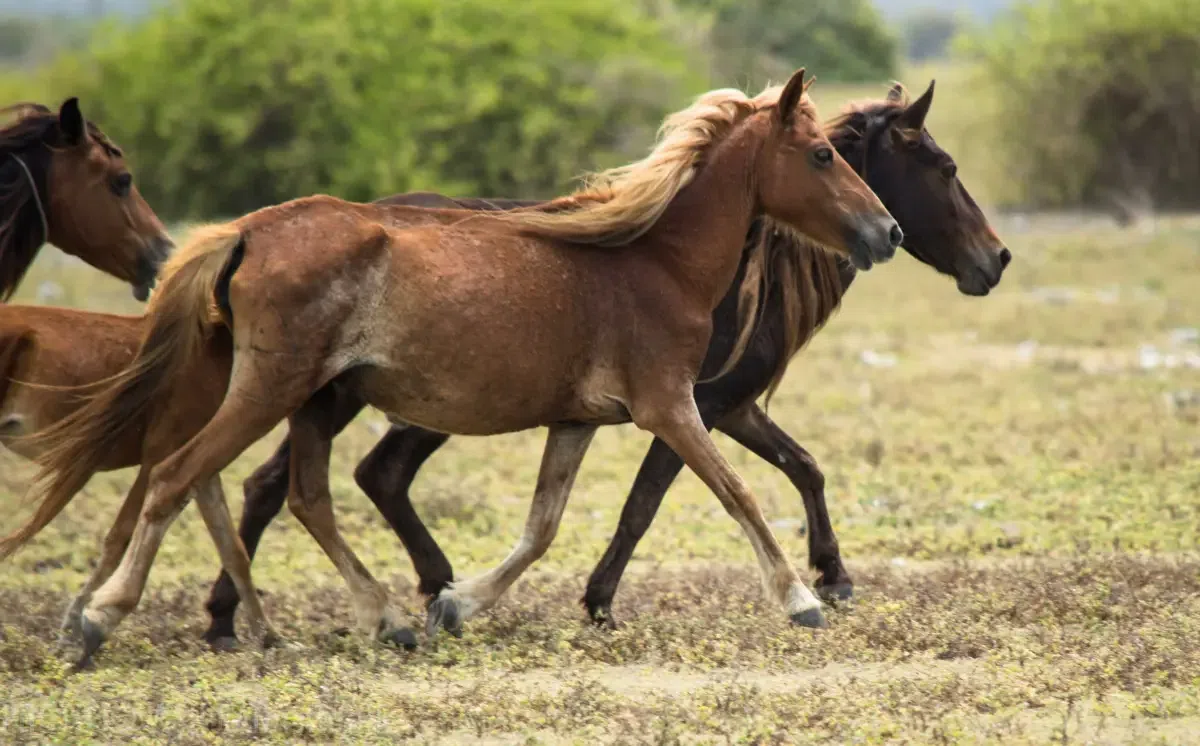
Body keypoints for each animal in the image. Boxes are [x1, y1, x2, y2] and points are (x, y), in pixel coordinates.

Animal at [25, 70, 902, 667]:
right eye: (821, 154)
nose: (886, 231)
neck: (654, 261)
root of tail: (246, 232)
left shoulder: (578, 420)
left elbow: (540, 530)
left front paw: (457, 604)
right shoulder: (671, 407)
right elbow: (739, 493)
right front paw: (802, 598)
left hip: (316, 399)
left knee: (302, 495)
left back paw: (387, 618)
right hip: (273, 390)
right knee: (180, 477)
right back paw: (100, 619)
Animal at [200, 80, 1009, 643]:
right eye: (943, 166)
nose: (995, 260)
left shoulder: (719, 405)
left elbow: (801, 467)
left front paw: (832, 574)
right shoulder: (686, 406)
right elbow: (659, 502)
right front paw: (599, 600)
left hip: (352, 395)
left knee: (328, 479)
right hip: (347, 395)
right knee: (307, 479)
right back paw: (246, 614)